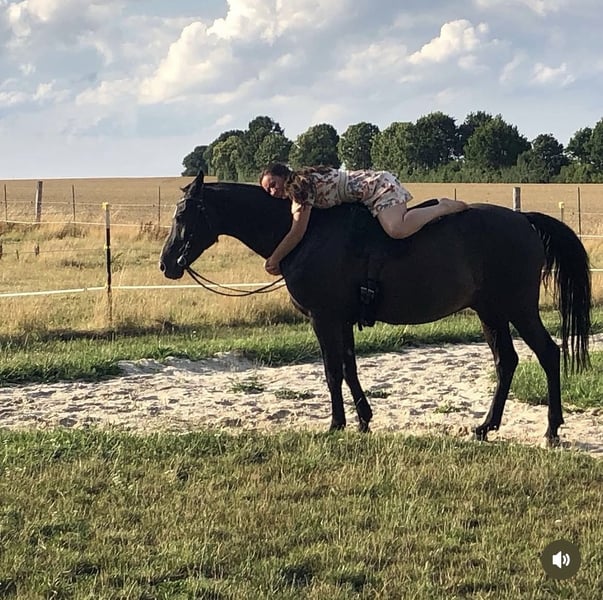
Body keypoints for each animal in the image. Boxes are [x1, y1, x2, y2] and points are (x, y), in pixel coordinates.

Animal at [159, 172, 591, 445]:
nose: (167, 264)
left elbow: (332, 372)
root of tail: (524, 221)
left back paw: (552, 430)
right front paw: (363, 419)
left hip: (518, 309)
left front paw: (336, 424)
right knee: (507, 362)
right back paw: (486, 426)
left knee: (548, 354)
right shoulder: (342, 321)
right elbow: (349, 369)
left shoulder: (324, 319)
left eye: (182, 214)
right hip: (490, 312)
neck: (308, 234)